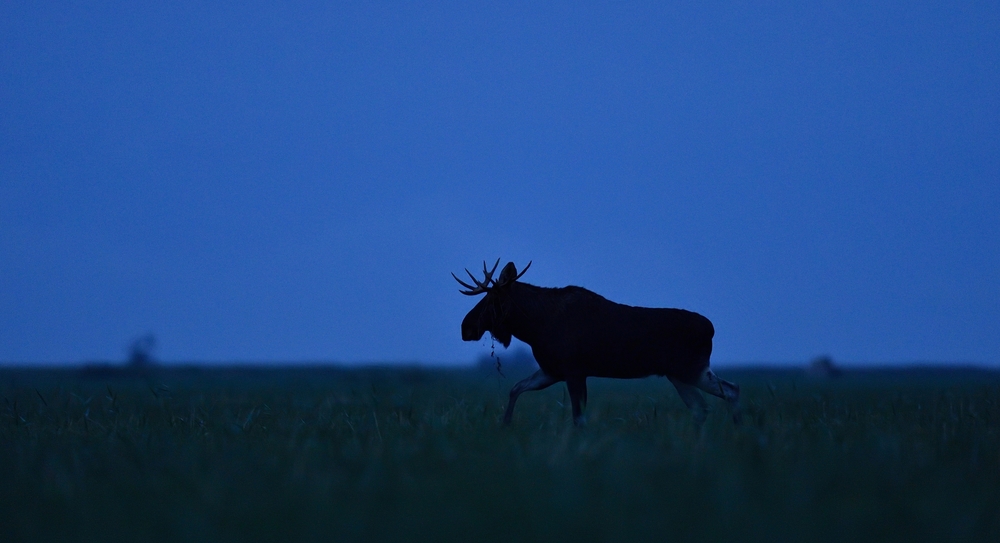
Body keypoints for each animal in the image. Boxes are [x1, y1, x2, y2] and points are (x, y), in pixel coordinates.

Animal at [458, 262, 740, 428]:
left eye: (493, 299)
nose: (465, 327)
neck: (534, 327)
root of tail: (711, 328)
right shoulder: (552, 370)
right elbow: (515, 388)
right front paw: (505, 424)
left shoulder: (573, 371)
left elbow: (579, 419)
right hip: (679, 375)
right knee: (702, 407)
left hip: (691, 369)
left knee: (731, 390)